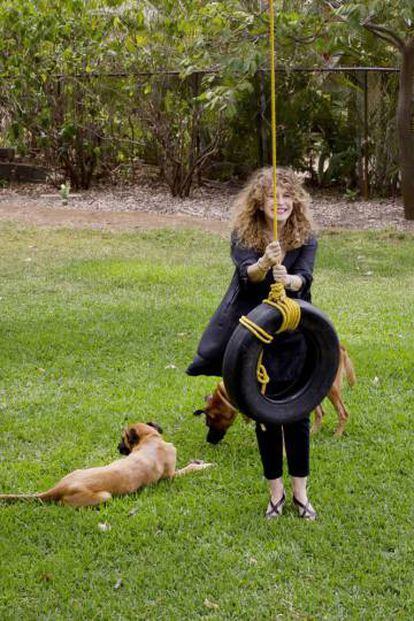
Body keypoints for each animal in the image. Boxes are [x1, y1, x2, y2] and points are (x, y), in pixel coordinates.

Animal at [0, 418, 212, 506]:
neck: (150, 439)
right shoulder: (171, 476)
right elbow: (189, 468)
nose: (117, 448)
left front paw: (200, 461)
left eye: (122, 439)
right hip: (104, 496)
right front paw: (205, 466)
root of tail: (60, 487)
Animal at [195, 344, 356, 440]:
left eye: (208, 423)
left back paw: (336, 435)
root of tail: (341, 347)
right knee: (321, 413)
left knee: (343, 413)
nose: (209, 441)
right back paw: (313, 433)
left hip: (330, 389)